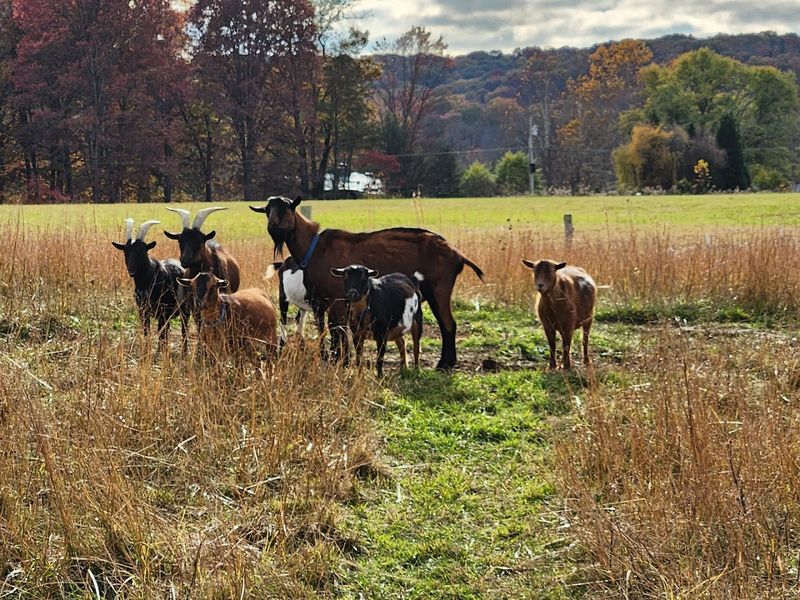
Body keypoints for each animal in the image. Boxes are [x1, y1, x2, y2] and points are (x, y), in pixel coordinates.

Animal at [112, 219, 190, 351]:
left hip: (184, 309)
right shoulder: (143, 311)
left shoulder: (164, 311)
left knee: (183, 330)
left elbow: (162, 335)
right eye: (125, 251)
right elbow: (147, 331)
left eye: (143, 251)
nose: (132, 271)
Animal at [250, 196, 483, 370]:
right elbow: (334, 331)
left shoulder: (337, 299)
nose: (273, 227)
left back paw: (444, 364)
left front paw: (340, 361)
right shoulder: (324, 301)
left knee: (448, 324)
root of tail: (457, 254)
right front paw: (338, 359)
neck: (313, 249)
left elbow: (337, 332)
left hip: (439, 289)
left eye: (287, 209)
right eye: (268, 210)